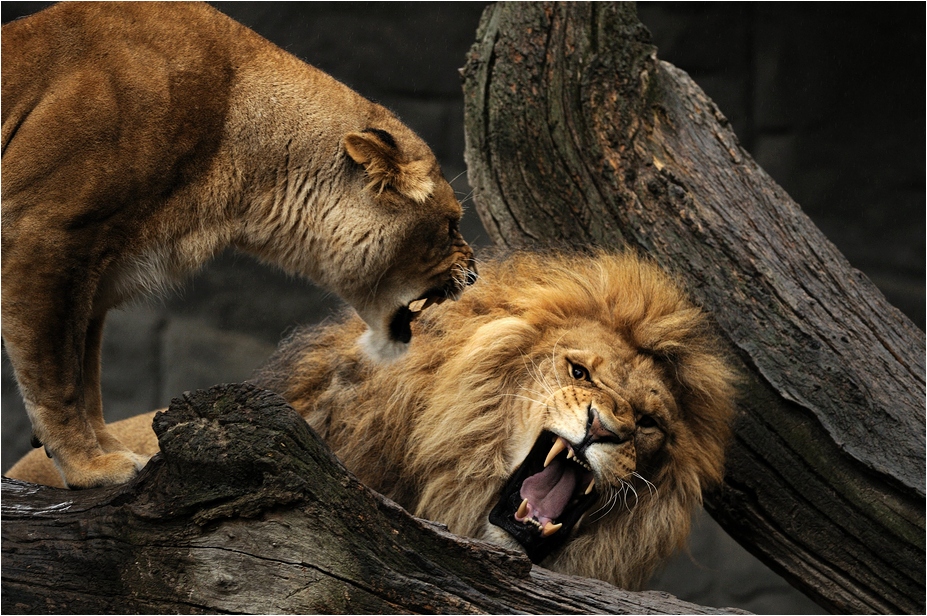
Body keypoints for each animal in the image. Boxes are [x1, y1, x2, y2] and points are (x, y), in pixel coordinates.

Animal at [0, 2, 475, 489]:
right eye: (451, 224)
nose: (474, 270)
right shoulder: (45, 231)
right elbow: (56, 376)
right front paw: (89, 468)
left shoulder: (95, 272)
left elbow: (86, 373)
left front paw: (109, 451)